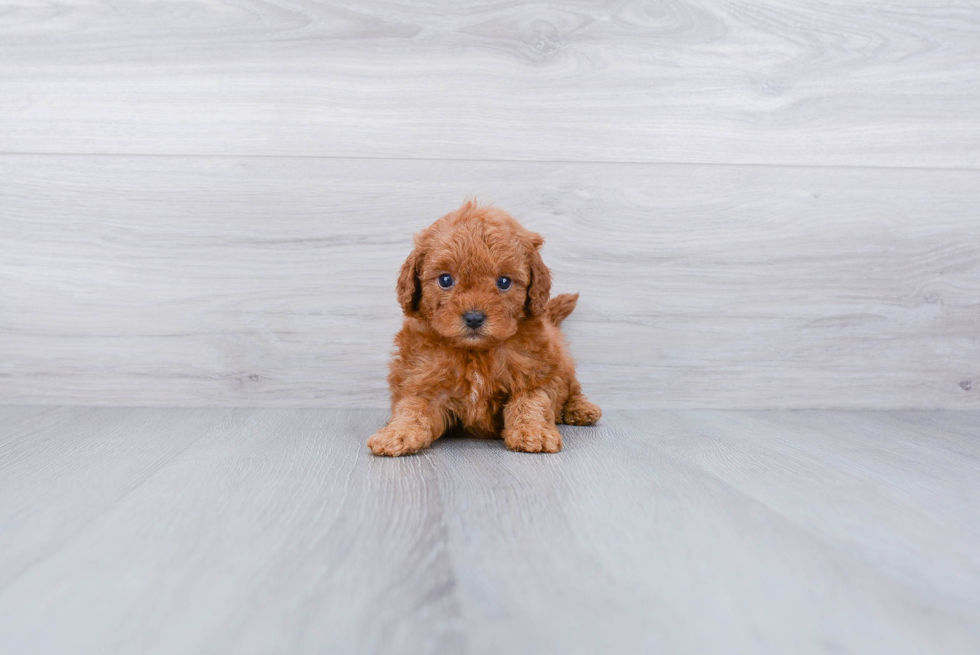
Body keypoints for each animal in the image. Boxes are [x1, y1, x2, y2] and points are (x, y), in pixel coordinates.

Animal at [366, 201, 596, 456]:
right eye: (445, 280)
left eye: (504, 282)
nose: (474, 318)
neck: (475, 352)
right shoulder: (421, 377)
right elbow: (413, 408)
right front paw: (397, 433)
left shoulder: (536, 372)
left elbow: (531, 402)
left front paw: (533, 432)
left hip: (564, 363)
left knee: (573, 388)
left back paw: (580, 409)